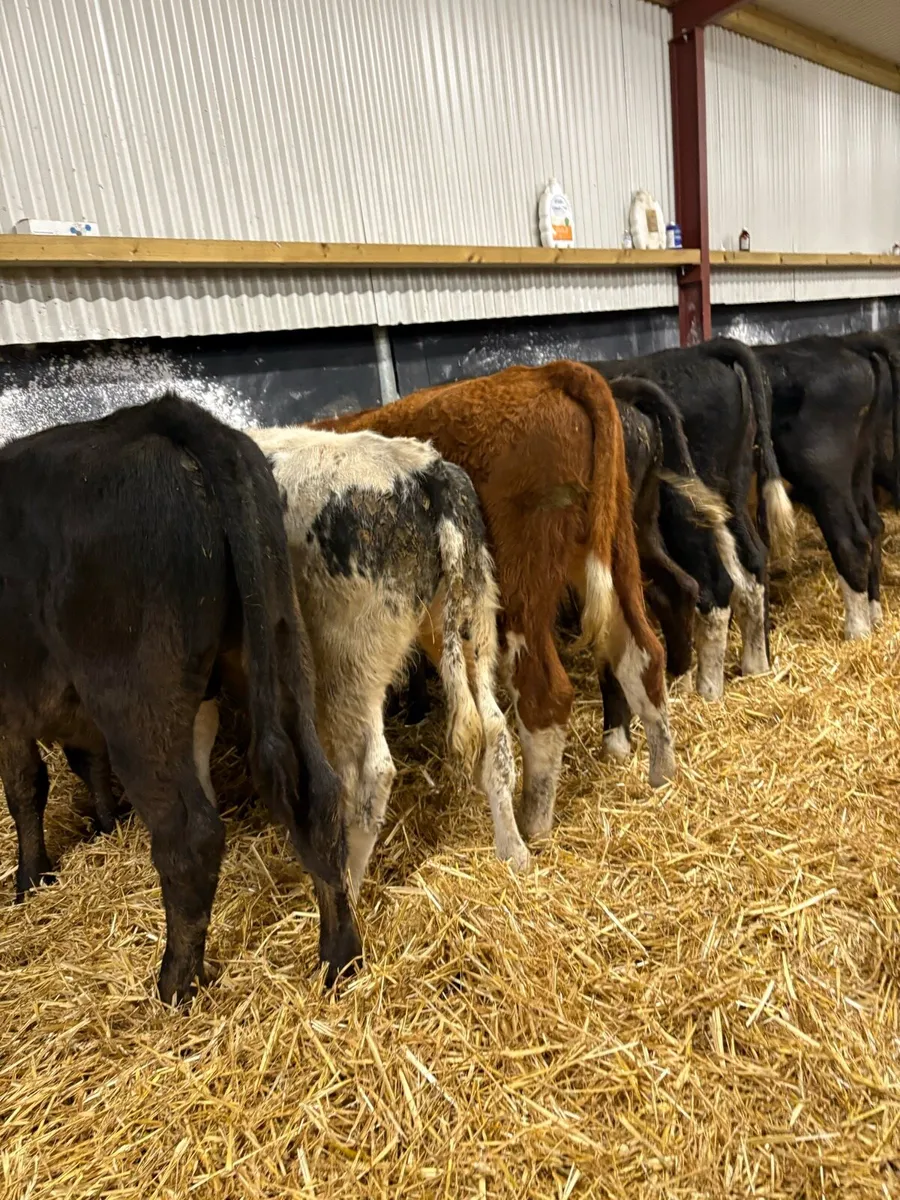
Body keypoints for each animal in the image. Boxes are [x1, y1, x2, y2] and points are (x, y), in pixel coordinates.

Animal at [0, 394, 360, 1003]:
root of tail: (162, 415)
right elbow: (83, 761)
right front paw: (104, 823)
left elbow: (26, 787)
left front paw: (31, 878)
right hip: (281, 641)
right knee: (320, 795)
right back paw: (340, 958)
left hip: (135, 695)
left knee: (190, 836)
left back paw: (174, 984)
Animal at [239, 424, 526, 884]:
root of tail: (425, 470)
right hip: (469, 621)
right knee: (495, 729)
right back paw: (514, 852)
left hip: (349, 659)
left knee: (370, 771)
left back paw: (346, 881)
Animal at [312, 361, 677, 843]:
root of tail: (545, 374)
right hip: (617, 545)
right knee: (642, 653)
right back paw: (662, 772)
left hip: (519, 586)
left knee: (543, 691)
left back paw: (533, 821)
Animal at [592, 339, 796, 700]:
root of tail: (704, 349)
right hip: (731, 490)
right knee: (752, 562)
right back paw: (754, 664)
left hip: (684, 505)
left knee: (713, 583)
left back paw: (705, 687)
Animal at [754, 333, 899, 637]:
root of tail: (848, 345)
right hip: (861, 462)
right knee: (873, 526)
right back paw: (874, 616)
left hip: (822, 468)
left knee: (851, 539)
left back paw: (857, 632)